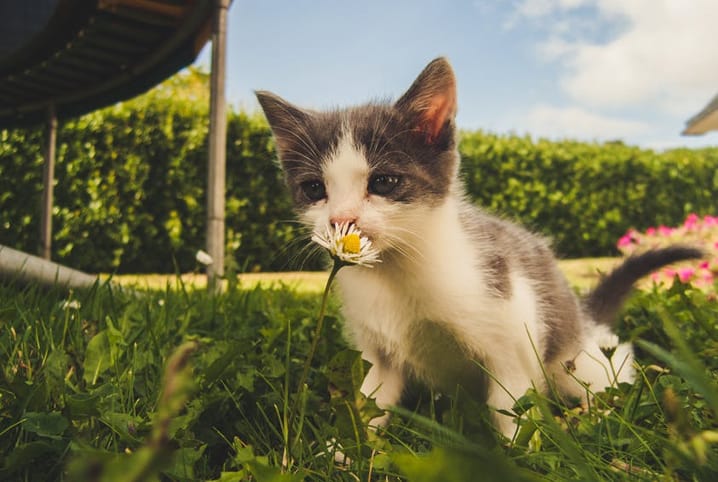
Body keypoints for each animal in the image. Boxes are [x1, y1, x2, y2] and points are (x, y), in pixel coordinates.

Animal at [258, 57, 704, 436]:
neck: (398, 271)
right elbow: (371, 402)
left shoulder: (513, 331)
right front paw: (344, 453)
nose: (341, 220)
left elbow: (511, 408)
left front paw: (519, 456)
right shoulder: (378, 351)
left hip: (573, 356)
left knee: (610, 367)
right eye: (314, 189)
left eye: (383, 182)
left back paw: (597, 414)